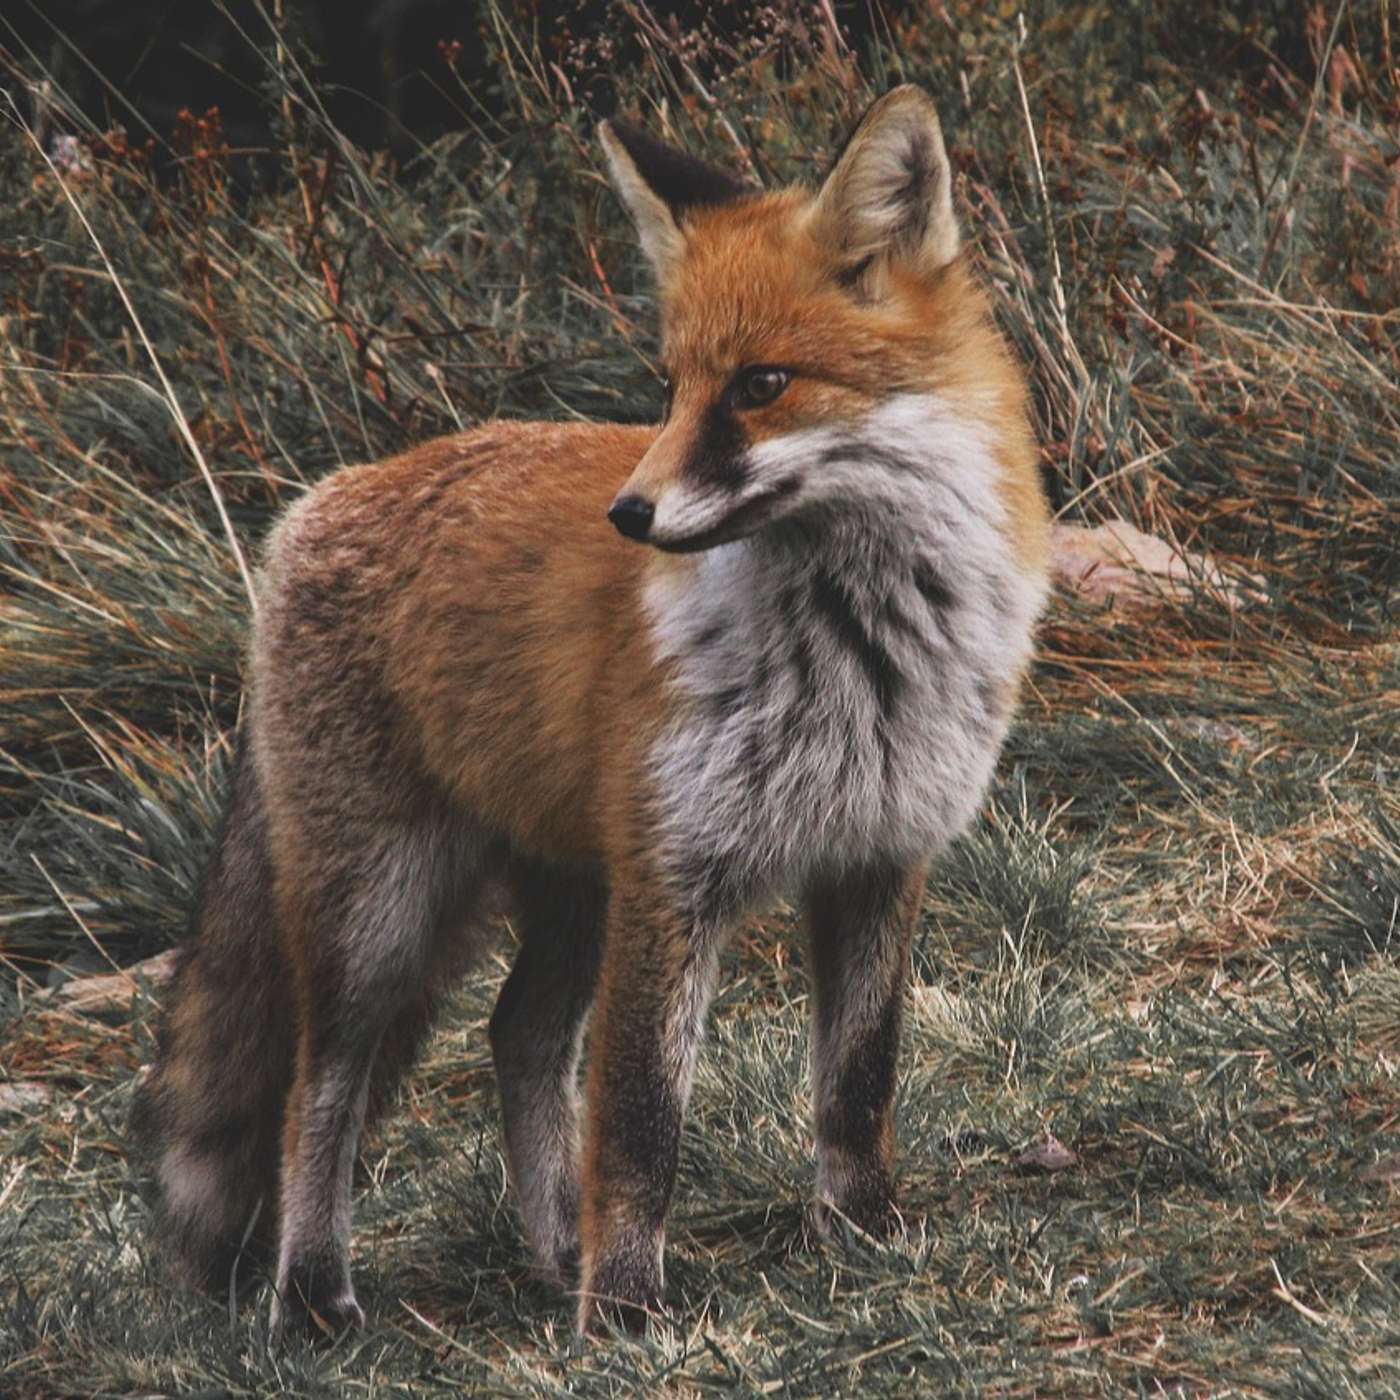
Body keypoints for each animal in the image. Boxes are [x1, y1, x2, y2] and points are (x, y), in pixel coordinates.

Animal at [130, 85, 1051, 1336]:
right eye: (668, 386)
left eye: (759, 385)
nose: (630, 513)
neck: (856, 650)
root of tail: (318, 501)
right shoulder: (675, 876)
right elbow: (640, 1118)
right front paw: (621, 1310)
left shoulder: (877, 852)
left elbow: (857, 1081)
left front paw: (862, 1234)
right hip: (381, 912)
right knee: (318, 1087)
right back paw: (317, 1292)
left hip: (571, 891)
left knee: (515, 1034)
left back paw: (551, 1247)